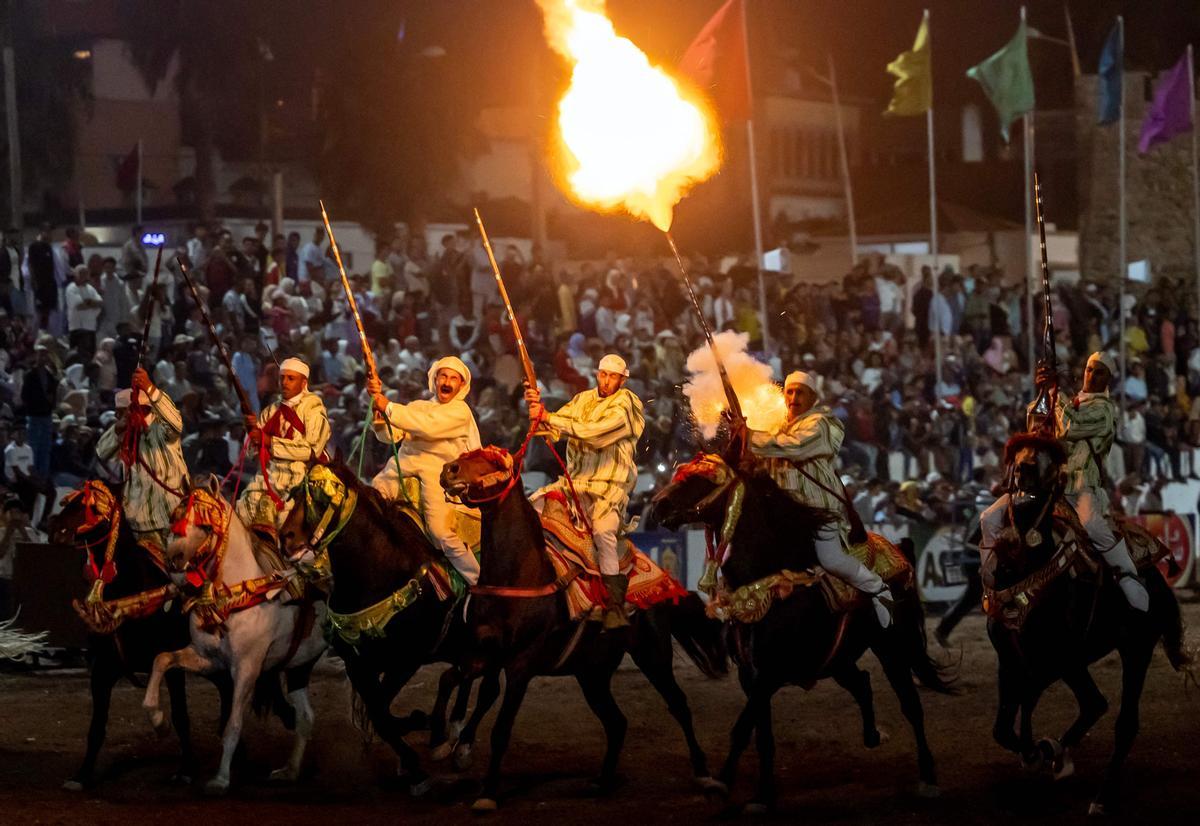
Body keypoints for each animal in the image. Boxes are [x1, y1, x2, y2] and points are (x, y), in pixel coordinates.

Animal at [140, 475, 328, 797]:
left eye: (205, 526)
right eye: (175, 519)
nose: (173, 560)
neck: (238, 593)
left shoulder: (247, 668)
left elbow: (233, 724)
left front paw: (220, 779)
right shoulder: (208, 659)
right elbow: (162, 659)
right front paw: (158, 720)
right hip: (300, 665)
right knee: (306, 717)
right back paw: (289, 771)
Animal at [278, 465, 484, 792]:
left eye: (322, 497)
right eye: (297, 492)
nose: (285, 538)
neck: (381, 570)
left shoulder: (406, 660)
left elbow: (382, 713)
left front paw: (417, 757)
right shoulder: (359, 665)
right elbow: (380, 713)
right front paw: (414, 748)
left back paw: (459, 745)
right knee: (465, 675)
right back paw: (447, 736)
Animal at [444, 444, 729, 811]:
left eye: (491, 460)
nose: (449, 470)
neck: (522, 574)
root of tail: (663, 580)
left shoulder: (521, 665)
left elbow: (501, 728)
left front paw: (488, 792)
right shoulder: (485, 654)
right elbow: (469, 686)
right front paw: (456, 745)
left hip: (652, 656)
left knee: (678, 704)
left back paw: (704, 774)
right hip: (592, 673)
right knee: (617, 722)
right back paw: (603, 781)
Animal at [652, 453, 950, 816]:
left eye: (704, 478)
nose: (657, 506)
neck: (766, 585)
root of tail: (899, 550)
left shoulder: (769, 674)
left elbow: (742, 728)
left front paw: (721, 783)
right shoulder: (751, 676)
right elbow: (761, 735)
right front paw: (762, 795)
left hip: (892, 650)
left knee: (911, 704)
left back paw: (929, 777)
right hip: (837, 661)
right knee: (862, 683)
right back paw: (873, 736)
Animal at [979, 432, 1195, 811]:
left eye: (1051, 460)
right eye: (1018, 452)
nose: (1024, 469)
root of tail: (1157, 582)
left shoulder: (1059, 658)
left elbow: (1036, 697)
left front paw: (1041, 752)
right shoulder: (1013, 658)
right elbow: (1005, 724)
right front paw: (1037, 753)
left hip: (1134, 650)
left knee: (1123, 721)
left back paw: (1102, 796)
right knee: (1087, 703)